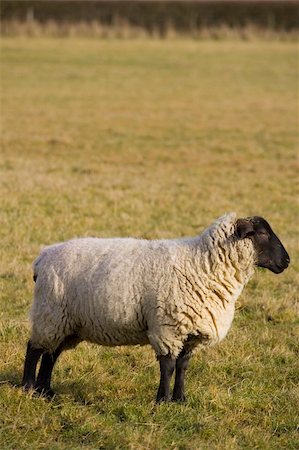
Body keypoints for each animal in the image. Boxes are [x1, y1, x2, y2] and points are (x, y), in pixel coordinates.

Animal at [21, 213, 290, 402]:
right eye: (262, 233)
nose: (287, 261)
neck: (202, 264)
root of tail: (43, 257)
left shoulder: (191, 332)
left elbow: (183, 366)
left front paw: (180, 399)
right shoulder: (168, 328)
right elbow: (168, 366)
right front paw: (162, 400)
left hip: (66, 321)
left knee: (51, 354)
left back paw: (46, 391)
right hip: (50, 312)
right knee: (34, 348)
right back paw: (28, 388)